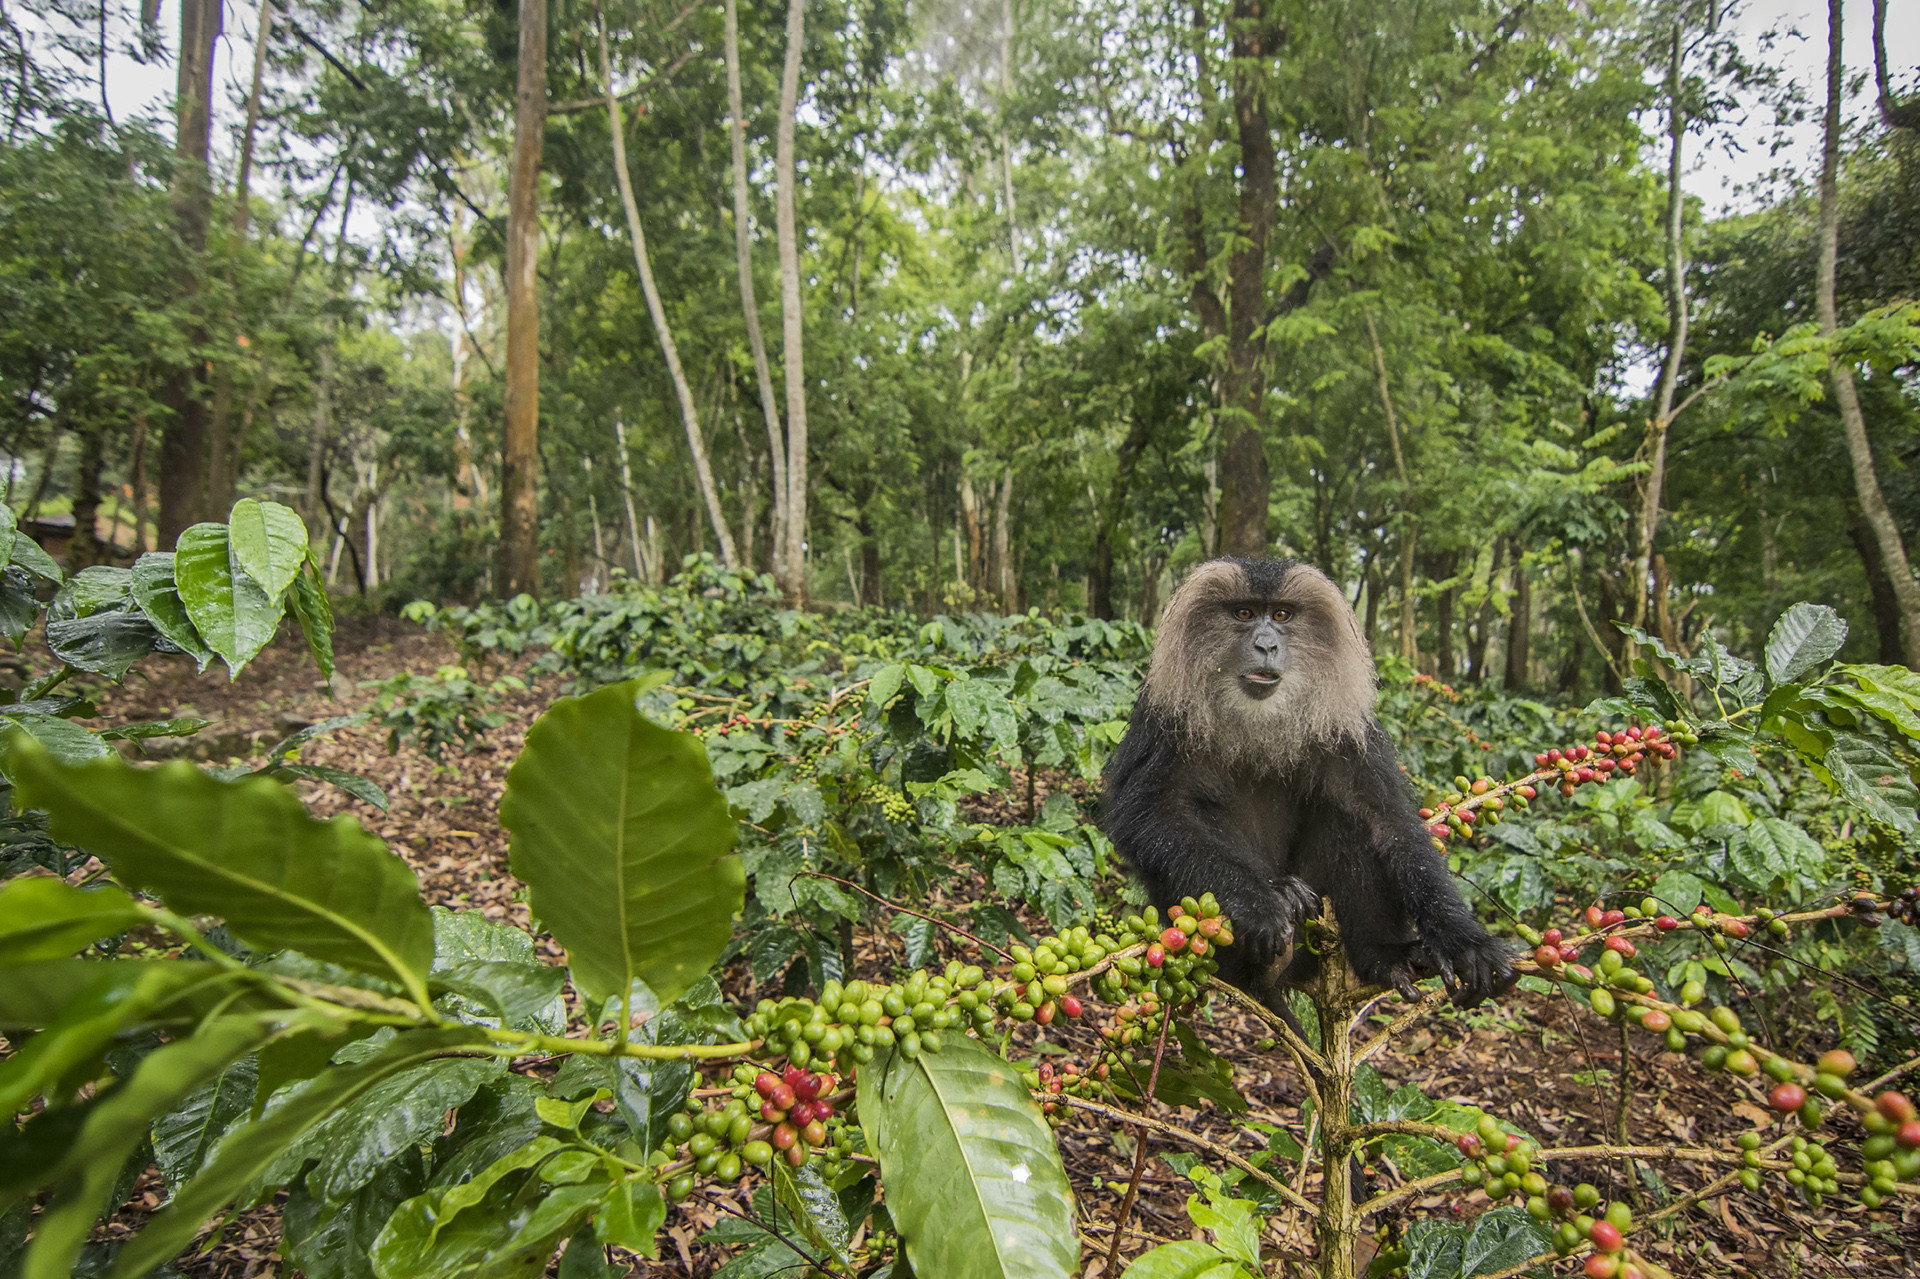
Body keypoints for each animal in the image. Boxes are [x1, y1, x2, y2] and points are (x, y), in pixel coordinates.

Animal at [1100, 556, 1516, 1009]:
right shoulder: (1166, 716)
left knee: (1349, 819)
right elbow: (1149, 812)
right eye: (1244, 613)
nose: (1266, 645)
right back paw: (1277, 912)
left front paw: (1464, 941)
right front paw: (1258, 901)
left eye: (1282, 615)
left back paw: (1381, 956)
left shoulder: (1345, 725)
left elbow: (1385, 818)